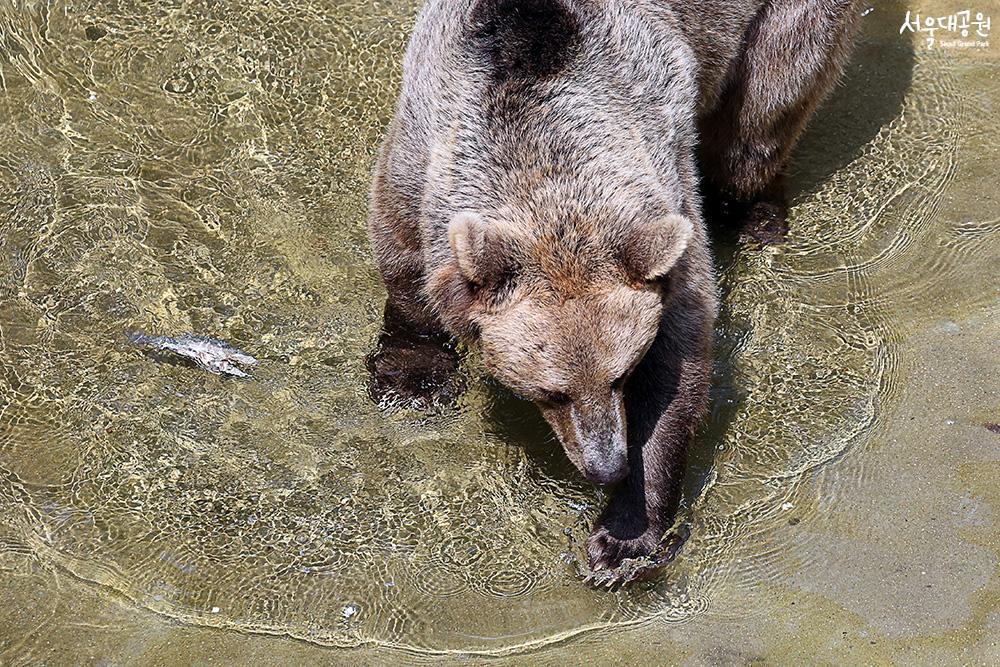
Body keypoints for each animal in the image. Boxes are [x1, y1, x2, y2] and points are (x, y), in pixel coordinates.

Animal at [366, 0, 860, 580]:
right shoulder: (419, 154)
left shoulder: (666, 190)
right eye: (550, 392)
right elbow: (402, 257)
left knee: (757, 122)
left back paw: (755, 214)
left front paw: (624, 537)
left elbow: (679, 361)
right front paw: (410, 375)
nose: (605, 466)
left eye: (622, 374)